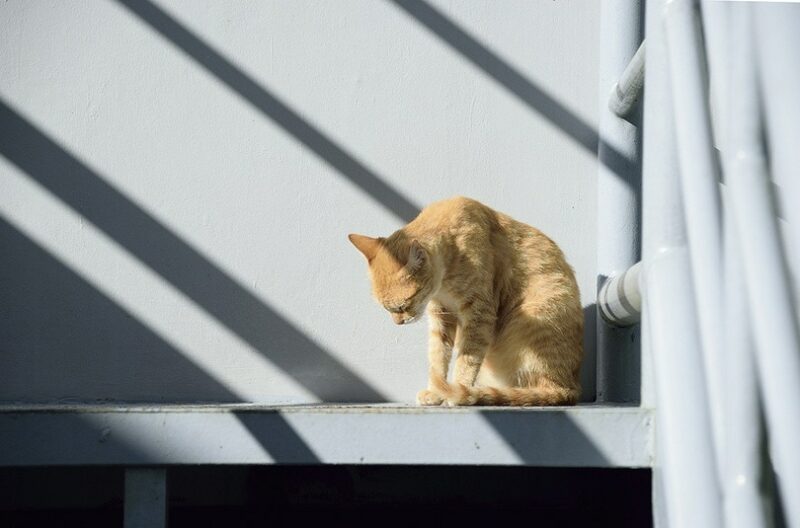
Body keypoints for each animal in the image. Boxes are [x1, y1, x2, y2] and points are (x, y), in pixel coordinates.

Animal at [348, 196, 580, 406]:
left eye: (402, 305)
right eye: (385, 308)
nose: (398, 323)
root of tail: (569, 387)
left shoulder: (480, 314)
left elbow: (467, 359)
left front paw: (458, 389)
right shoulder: (441, 315)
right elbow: (437, 358)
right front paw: (436, 392)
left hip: (534, 316)